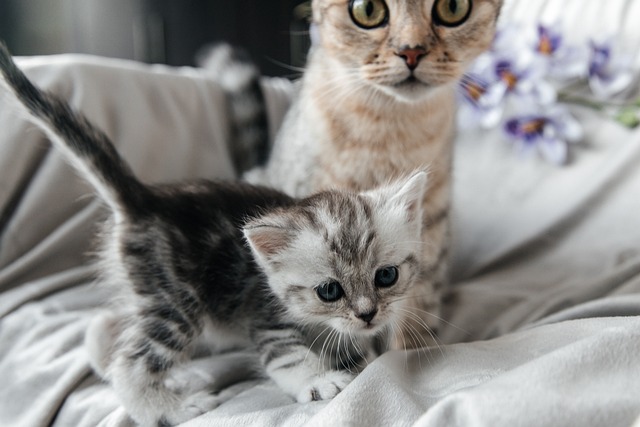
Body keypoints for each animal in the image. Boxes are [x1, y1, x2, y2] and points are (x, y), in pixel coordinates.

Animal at [1, 41, 430, 426]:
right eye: (329, 291)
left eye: (386, 276)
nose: (368, 314)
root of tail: (143, 198)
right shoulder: (266, 316)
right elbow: (287, 356)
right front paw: (319, 380)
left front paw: (357, 356)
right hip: (176, 301)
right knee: (131, 363)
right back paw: (168, 409)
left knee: (107, 331)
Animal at [245, 0, 504, 348]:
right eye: (367, 10)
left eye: (453, 8)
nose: (411, 51)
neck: (390, 127)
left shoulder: (431, 225)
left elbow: (416, 311)